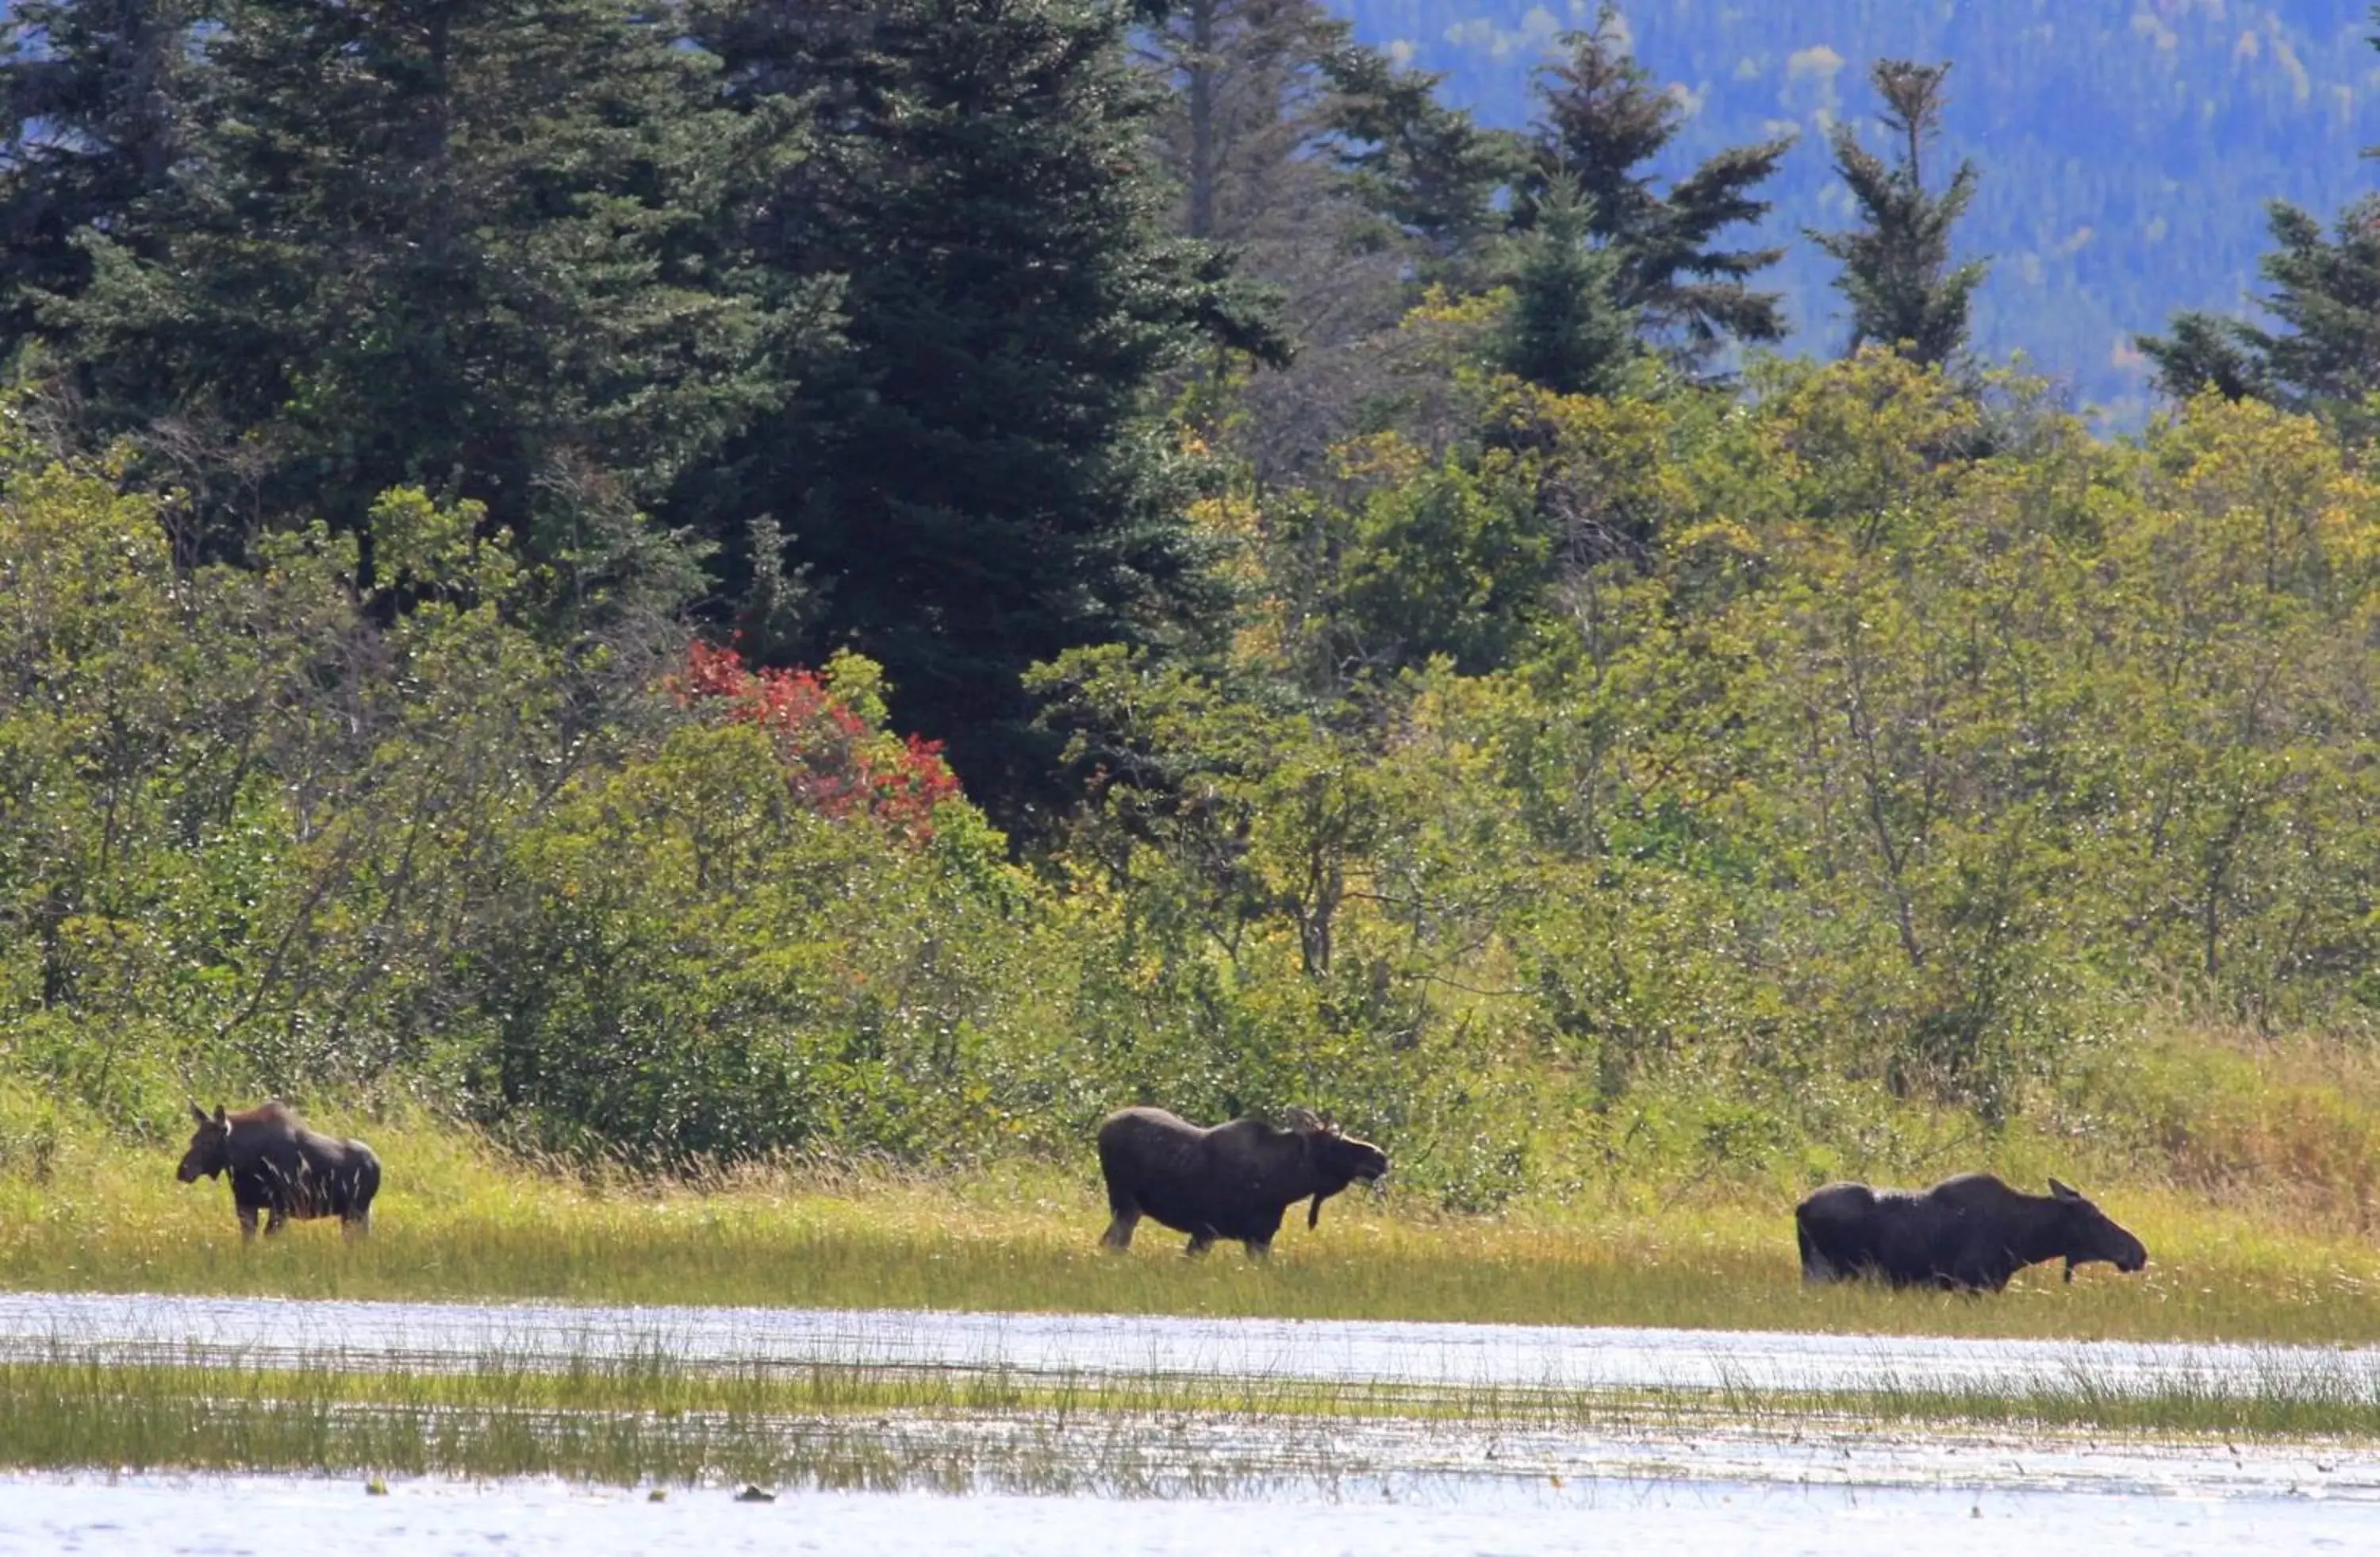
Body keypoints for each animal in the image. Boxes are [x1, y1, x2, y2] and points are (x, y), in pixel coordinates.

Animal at [176, 1109, 383, 1248]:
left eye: (209, 1142)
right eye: (193, 1139)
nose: (182, 1170)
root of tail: (377, 1163)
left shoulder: (281, 1207)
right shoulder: (245, 1204)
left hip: (355, 1210)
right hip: (357, 1212)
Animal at [1100, 1105, 1390, 1267]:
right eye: (1333, 1143)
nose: (1380, 1156)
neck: (1282, 1187)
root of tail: (1103, 1127)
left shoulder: (1260, 1238)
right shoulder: (1205, 1230)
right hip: (1125, 1203)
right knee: (1113, 1244)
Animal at [1790, 1176, 2152, 1295]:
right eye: (2094, 1216)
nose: (2139, 1251)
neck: (2023, 1240)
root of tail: (1799, 1207)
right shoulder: (1972, 1284)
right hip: (1829, 1271)